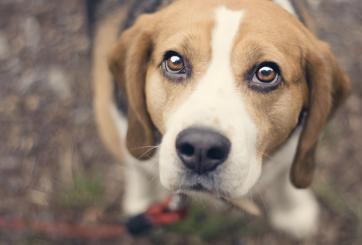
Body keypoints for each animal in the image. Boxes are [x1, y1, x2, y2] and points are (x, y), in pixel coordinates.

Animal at [92, 0, 350, 238]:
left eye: (266, 73)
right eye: (175, 61)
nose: (201, 148)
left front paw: (293, 210)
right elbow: (138, 167)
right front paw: (143, 202)